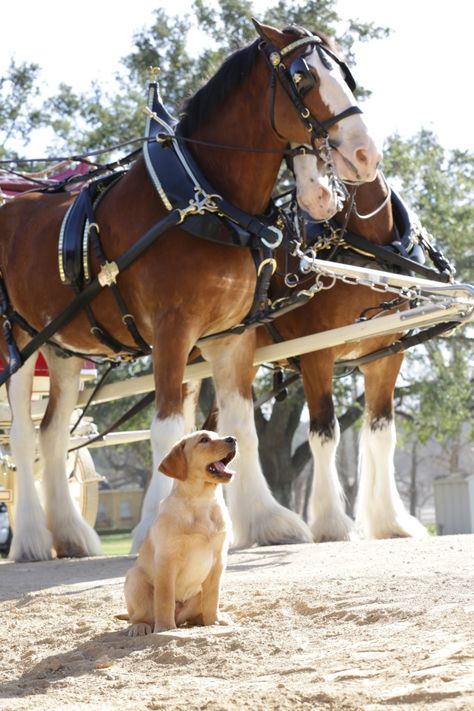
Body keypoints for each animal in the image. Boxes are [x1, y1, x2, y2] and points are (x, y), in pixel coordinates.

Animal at [0, 20, 378, 560]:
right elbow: (168, 429)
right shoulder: (173, 331)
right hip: (18, 341)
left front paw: (267, 522)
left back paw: (71, 534)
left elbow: (241, 428)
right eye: (304, 78)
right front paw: (156, 524)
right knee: (22, 437)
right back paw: (31, 537)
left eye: (344, 73)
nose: (368, 153)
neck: (206, 201)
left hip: (65, 347)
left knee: (51, 435)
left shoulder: (231, 337)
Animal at [124, 432, 237, 636]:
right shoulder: (167, 560)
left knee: (198, 610)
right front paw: (165, 627)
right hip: (135, 579)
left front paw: (214, 621)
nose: (232, 438)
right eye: (204, 440)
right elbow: (165, 598)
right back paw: (141, 626)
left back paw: (210, 618)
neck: (202, 501)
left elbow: (213, 597)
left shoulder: (219, 560)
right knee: (140, 616)